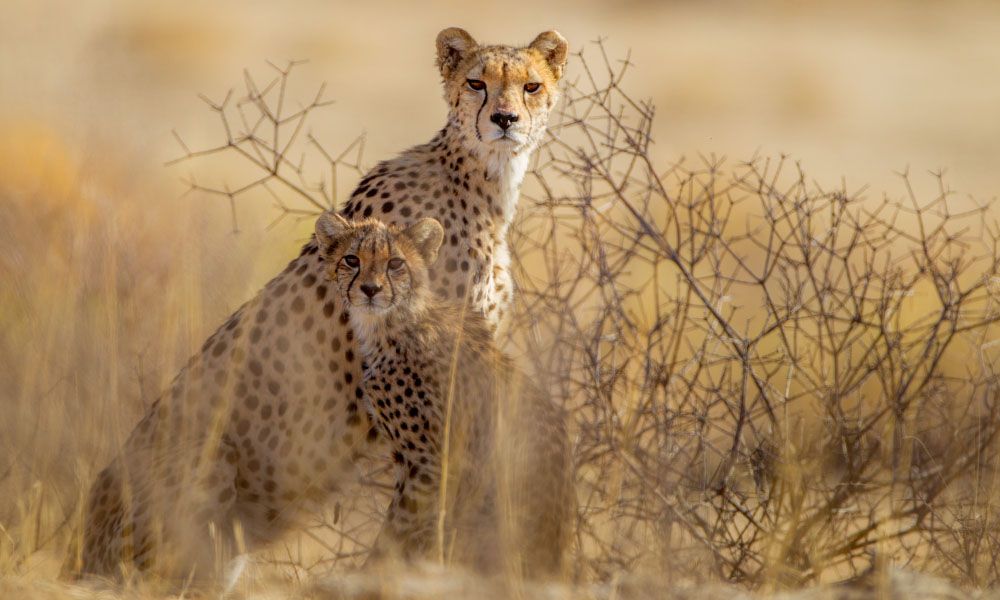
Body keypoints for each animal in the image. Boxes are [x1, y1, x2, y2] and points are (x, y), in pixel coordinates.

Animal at [316, 214, 576, 576]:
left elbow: (397, 529)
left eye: (395, 263)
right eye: (351, 260)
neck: (390, 324)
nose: (370, 289)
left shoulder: (431, 463)